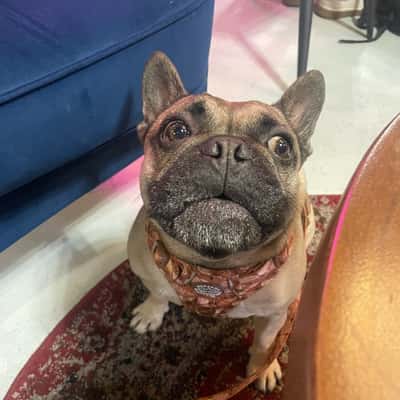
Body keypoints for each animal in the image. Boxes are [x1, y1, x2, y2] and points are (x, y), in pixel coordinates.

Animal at [127, 52, 325, 393]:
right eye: (176, 130)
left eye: (281, 145)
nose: (229, 149)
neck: (213, 271)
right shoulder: (146, 266)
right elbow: (156, 290)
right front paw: (152, 310)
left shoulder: (275, 315)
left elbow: (264, 343)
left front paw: (262, 368)